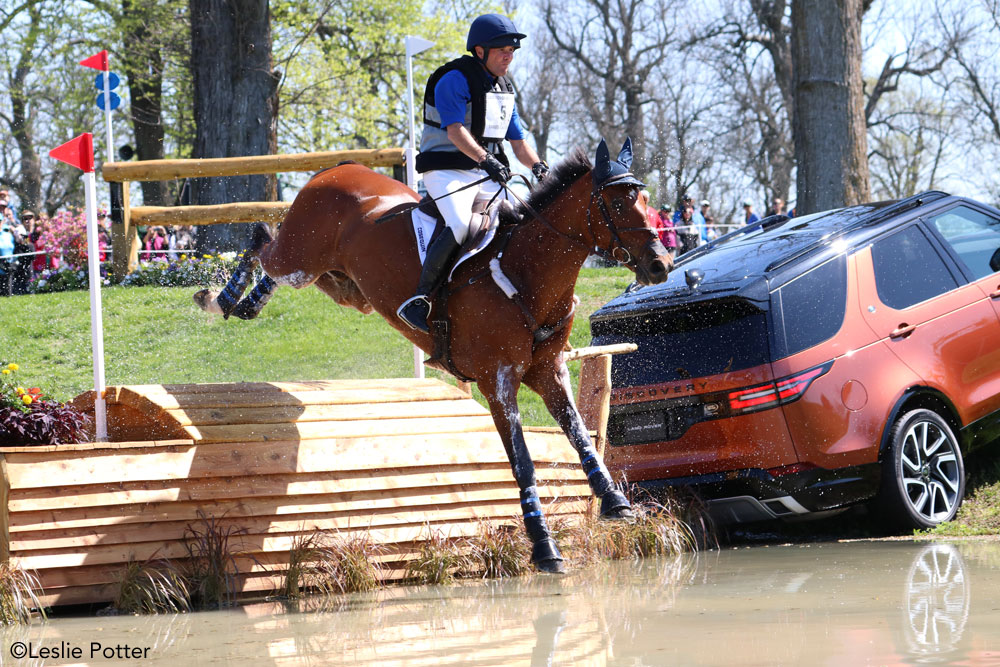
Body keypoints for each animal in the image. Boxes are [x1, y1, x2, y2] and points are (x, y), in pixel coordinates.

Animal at [195, 137, 672, 576]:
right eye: (617, 201)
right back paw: (219, 300)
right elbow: (522, 462)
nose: (660, 265)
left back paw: (245, 303)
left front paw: (615, 501)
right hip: (300, 257)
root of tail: (338, 169)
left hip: (344, 284)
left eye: (646, 200)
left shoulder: (548, 372)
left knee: (282, 262)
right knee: (261, 239)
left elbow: (578, 435)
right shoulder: (497, 381)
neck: (525, 270)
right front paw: (543, 545)